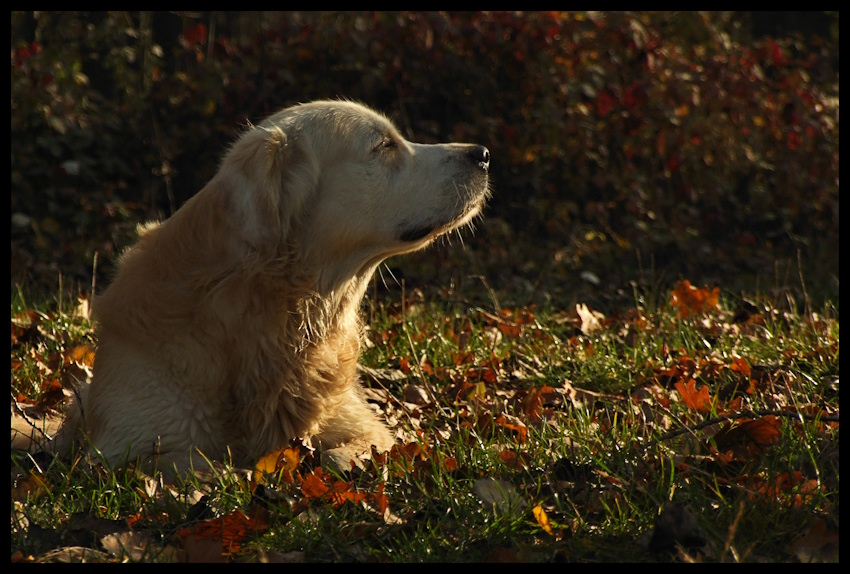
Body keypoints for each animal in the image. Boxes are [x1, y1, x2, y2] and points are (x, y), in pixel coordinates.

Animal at [43, 100, 490, 476]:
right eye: (383, 145)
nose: (483, 154)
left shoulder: (363, 424)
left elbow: (342, 452)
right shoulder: (124, 443)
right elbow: (196, 463)